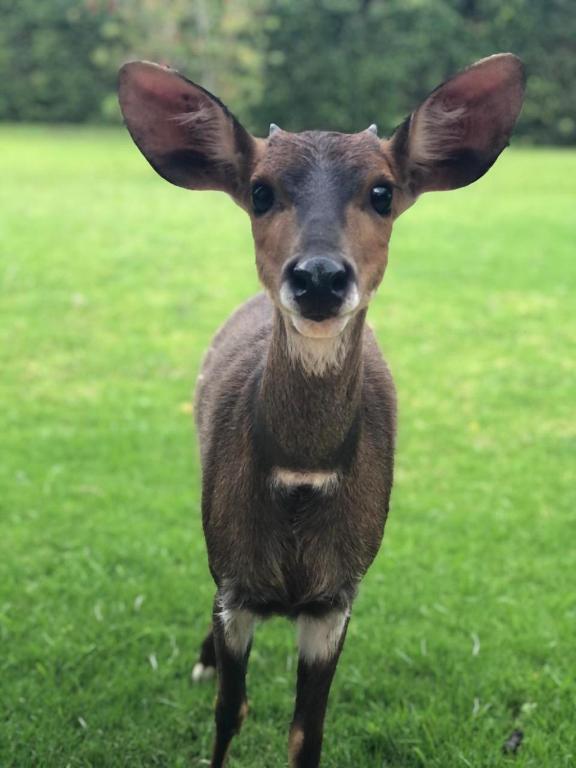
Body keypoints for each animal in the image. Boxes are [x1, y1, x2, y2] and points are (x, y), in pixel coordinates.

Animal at [118, 53, 525, 767]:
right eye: (259, 191)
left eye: (383, 192)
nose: (318, 278)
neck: (301, 478)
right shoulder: (235, 583)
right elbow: (230, 711)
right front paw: (211, 678)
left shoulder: (338, 599)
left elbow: (307, 732)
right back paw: (199, 660)